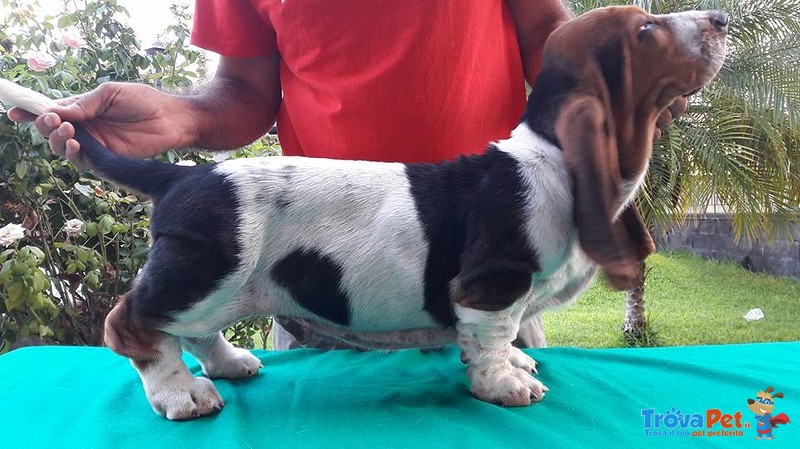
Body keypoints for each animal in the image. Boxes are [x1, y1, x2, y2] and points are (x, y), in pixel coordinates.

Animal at [0, 6, 728, 420]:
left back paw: (230, 364)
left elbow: (500, 338)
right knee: (132, 324)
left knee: (199, 330)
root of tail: (184, 174)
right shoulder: (491, 287)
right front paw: (504, 384)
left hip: (229, 286)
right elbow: (492, 337)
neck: (550, 153)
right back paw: (182, 394)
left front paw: (515, 369)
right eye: (646, 29)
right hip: (204, 270)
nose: (722, 19)